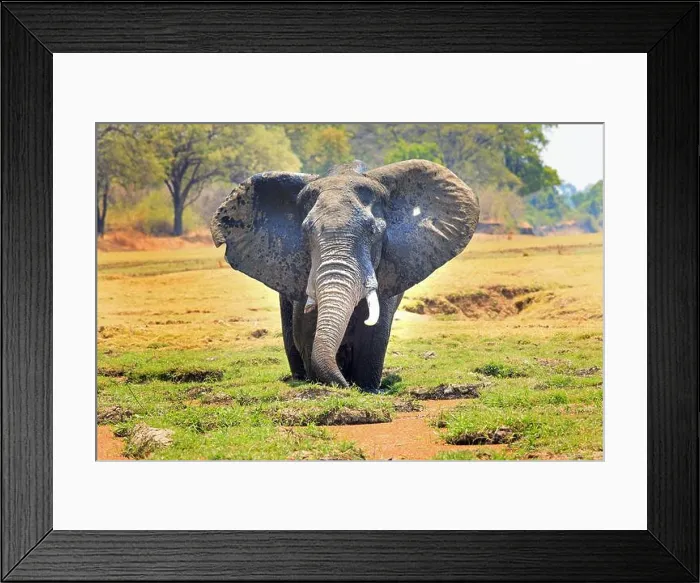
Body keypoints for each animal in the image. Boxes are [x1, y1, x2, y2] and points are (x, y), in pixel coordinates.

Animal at [211, 159, 479, 392]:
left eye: (374, 231)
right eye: (305, 232)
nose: (347, 386)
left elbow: (373, 336)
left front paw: (367, 388)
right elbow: (305, 334)